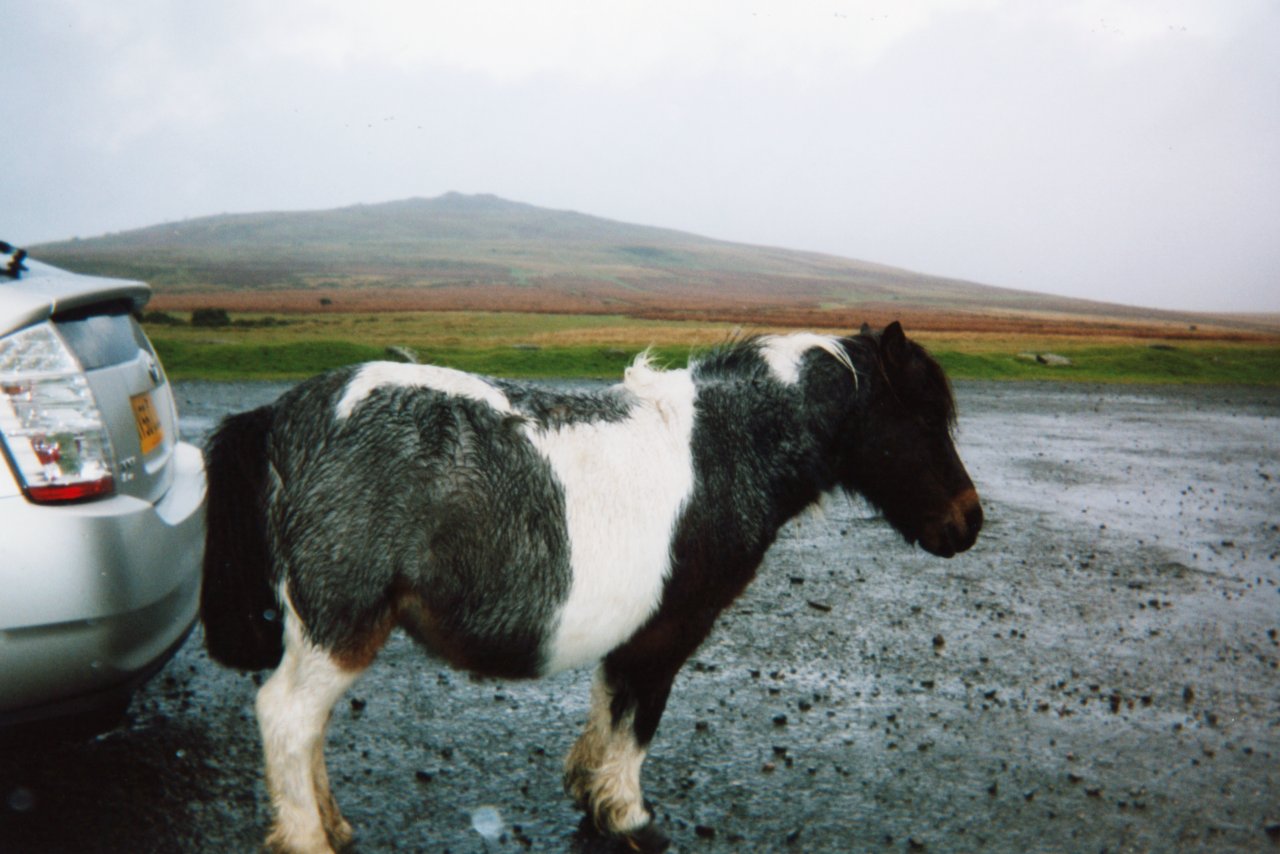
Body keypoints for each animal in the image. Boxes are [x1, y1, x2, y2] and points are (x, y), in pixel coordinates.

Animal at [199, 322, 977, 854]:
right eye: (923, 418)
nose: (968, 522)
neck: (728, 448)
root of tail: (282, 415)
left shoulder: (634, 632)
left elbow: (609, 708)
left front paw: (589, 790)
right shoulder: (667, 634)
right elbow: (638, 723)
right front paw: (629, 815)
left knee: (307, 728)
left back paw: (332, 824)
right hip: (338, 627)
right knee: (287, 719)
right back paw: (308, 838)